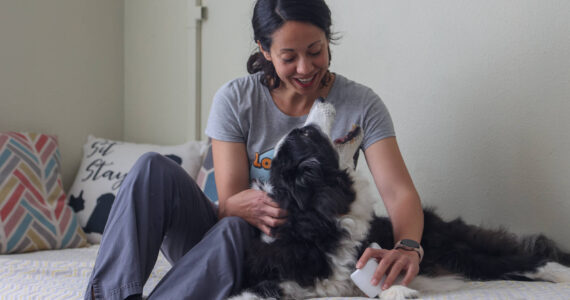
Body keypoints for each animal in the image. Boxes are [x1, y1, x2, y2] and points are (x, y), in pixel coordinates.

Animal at [230, 101, 568, 300]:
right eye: (305, 133)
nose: (321, 99)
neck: (316, 219)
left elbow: (384, 267)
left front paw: (397, 288)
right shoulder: (273, 276)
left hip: (459, 250)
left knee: (528, 259)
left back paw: (561, 273)